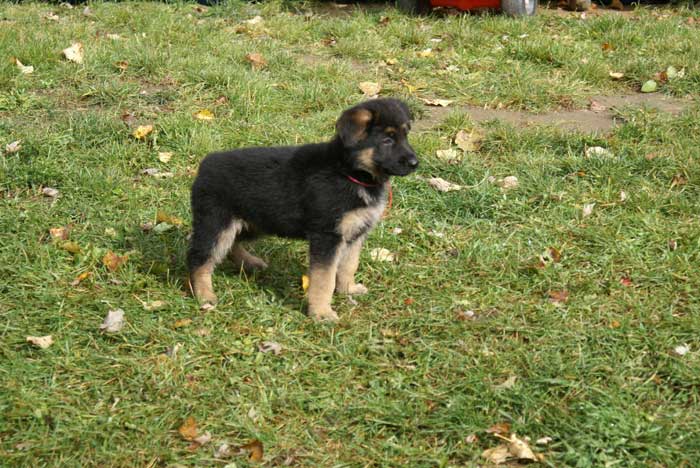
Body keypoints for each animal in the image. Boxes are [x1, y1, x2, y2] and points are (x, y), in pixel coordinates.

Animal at [186, 97, 418, 320]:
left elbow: (349, 266)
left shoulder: (355, 233)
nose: (415, 163)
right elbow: (324, 279)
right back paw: (204, 295)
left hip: (255, 221)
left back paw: (250, 263)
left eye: (406, 135)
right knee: (199, 257)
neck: (348, 172)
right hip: (216, 223)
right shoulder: (327, 237)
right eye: (387, 140)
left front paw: (348, 289)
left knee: (231, 244)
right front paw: (322, 313)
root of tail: (205, 164)